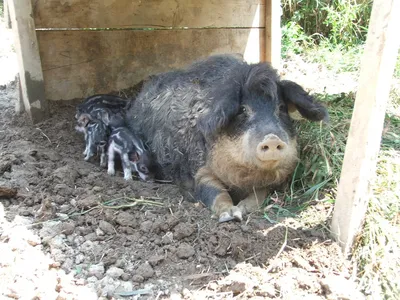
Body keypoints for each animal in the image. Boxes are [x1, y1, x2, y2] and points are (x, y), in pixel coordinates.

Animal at [126, 54, 328, 223]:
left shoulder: (270, 183)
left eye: (281, 108)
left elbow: (259, 195)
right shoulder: (200, 170)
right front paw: (231, 215)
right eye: (243, 110)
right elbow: (214, 192)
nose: (271, 138)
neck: (243, 178)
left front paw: (242, 209)